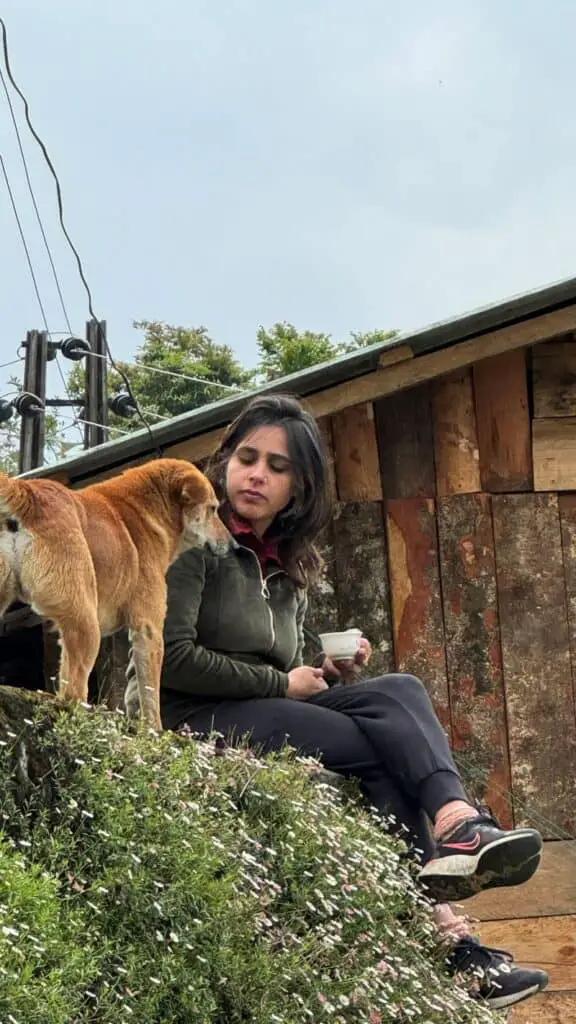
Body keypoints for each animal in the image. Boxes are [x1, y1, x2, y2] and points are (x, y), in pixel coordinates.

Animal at [0, 456, 229, 729]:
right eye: (213, 509)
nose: (233, 544)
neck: (149, 510)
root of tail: (26, 492)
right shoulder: (149, 628)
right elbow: (150, 694)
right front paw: (155, 731)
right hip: (85, 625)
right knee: (72, 694)